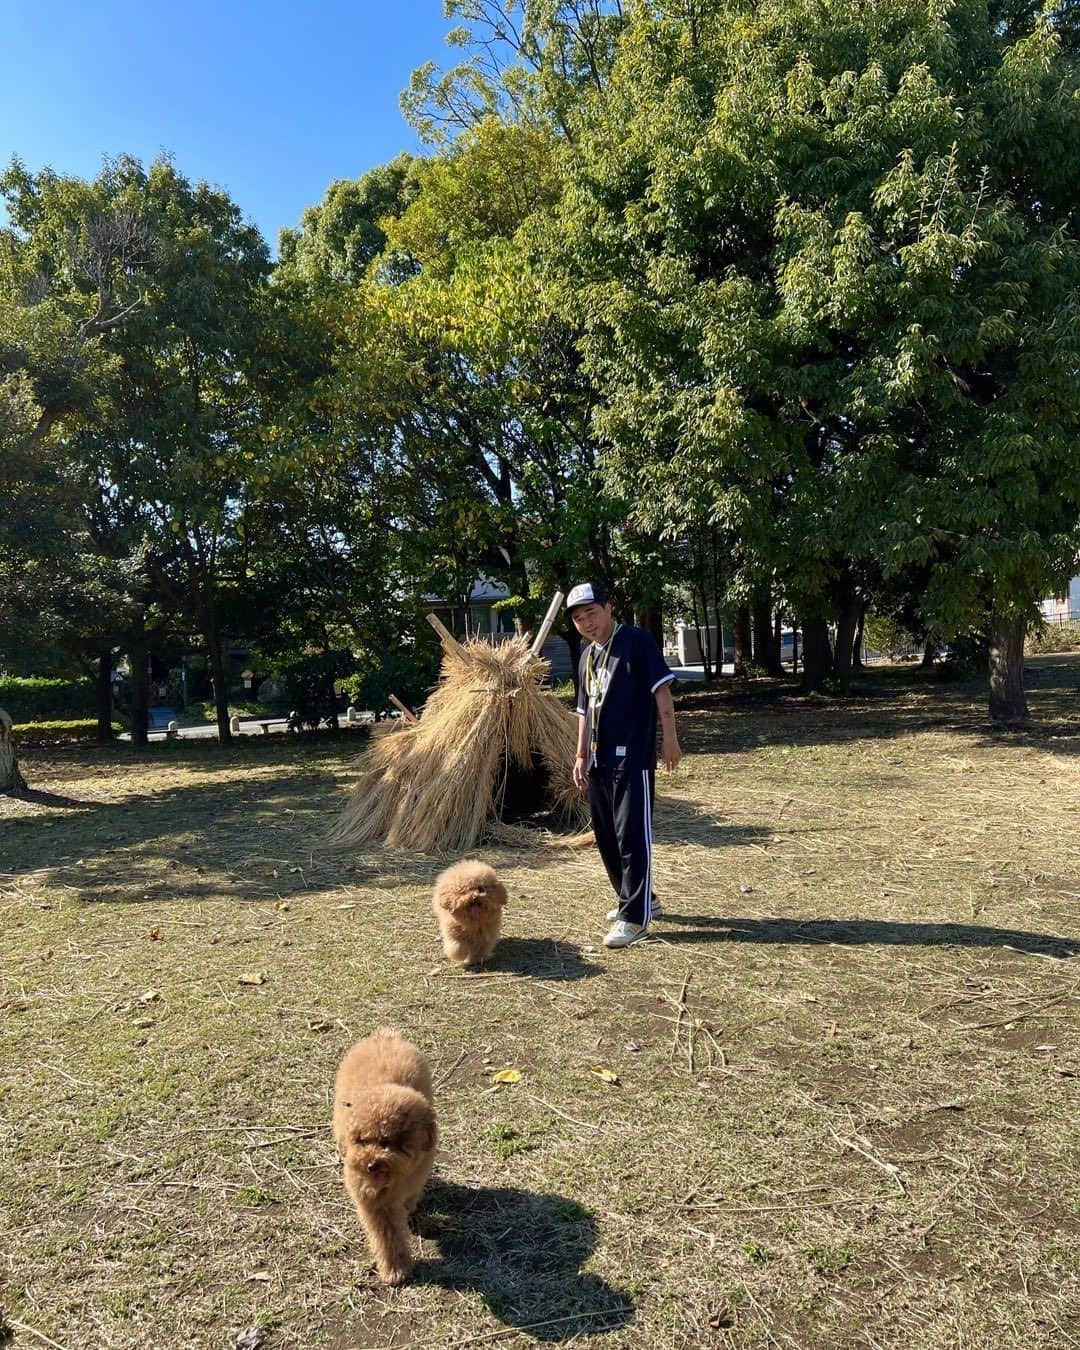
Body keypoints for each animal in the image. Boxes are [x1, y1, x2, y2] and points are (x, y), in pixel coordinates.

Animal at [337, 1026, 437, 1279]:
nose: (371, 1165)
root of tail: (386, 1034)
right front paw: (395, 1270)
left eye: (389, 1142)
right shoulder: (374, 1200)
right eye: (360, 1140)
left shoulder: (416, 1176)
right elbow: (387, 1235)